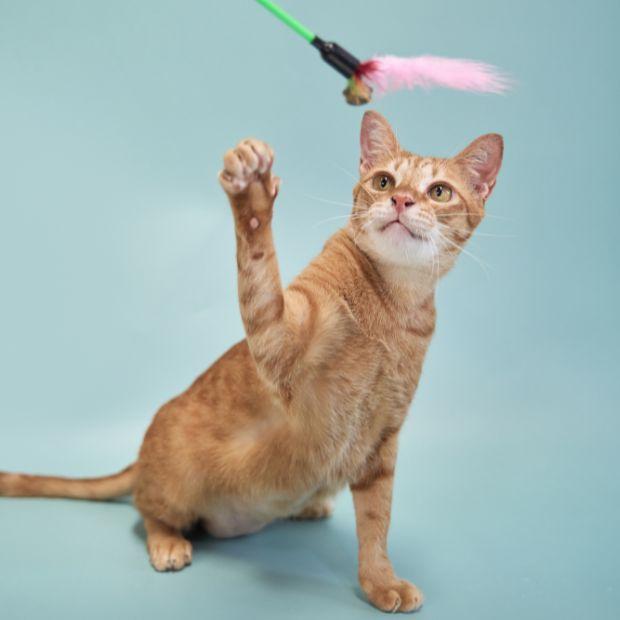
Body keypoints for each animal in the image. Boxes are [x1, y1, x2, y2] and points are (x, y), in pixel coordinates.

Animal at [0, 111, 503, 613]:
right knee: (148, 512)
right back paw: (168, 543)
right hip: (174, 476)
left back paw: (308, 506)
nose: (400, 199)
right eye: (383, 181)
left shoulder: (382, 440)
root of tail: (140, 458)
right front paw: (252, 192)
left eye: (438, 191)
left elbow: (377, 523)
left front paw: (380, 582)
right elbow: (258, 259)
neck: (393, 305)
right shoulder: (280, 338)